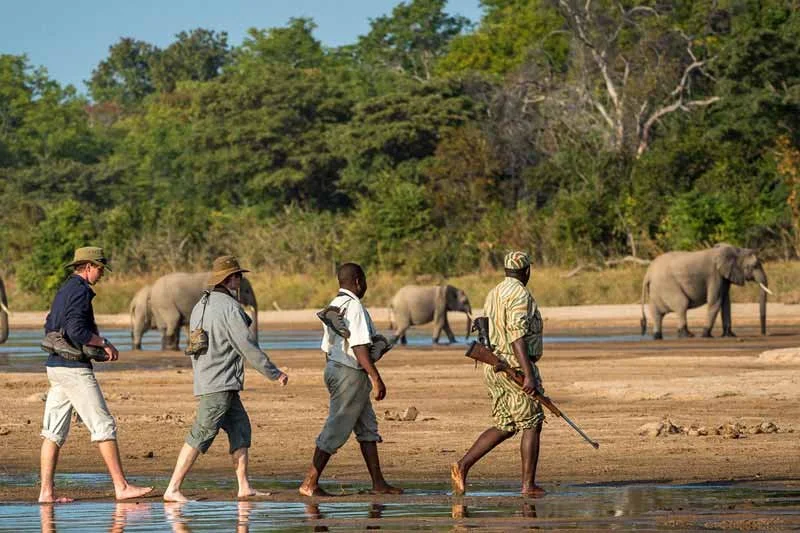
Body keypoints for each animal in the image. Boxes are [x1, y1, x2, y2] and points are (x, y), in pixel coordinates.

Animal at [640, 244, 771, 340]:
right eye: (754, 266)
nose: (763, 334)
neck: (735, 250)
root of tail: (648, 273)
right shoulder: (714, 275)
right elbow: (716, 302)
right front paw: (706, 335)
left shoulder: (724, 277)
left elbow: (726, 303)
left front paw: (729, 335)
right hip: (667, 285)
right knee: (682, 303)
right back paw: (688, 335)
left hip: (656, 289)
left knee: (656, 312)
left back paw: (657, 337)